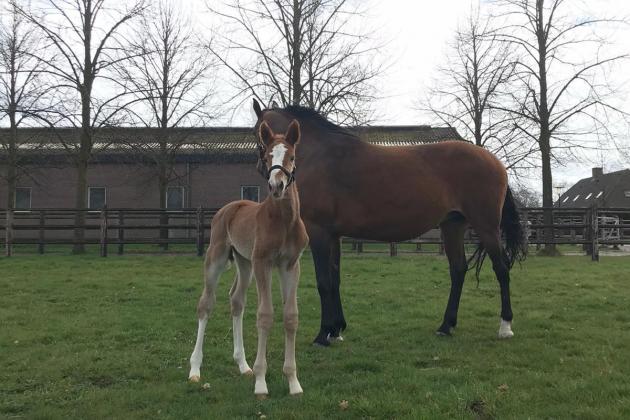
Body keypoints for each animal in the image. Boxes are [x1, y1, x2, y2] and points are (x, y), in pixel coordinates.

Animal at [188, 119, 308, 398]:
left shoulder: (290, 265)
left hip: (244, 263)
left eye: (292, 156)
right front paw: (262, 383)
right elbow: (265, 315)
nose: (276, 186)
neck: (284, 222)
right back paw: (195, 369)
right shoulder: (263, 262)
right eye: (266, 157)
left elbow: (290, 317)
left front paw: (293, 382)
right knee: (206, 304)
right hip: (217, 258)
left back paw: (243, 365)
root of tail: (229, 207)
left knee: (236, 300)